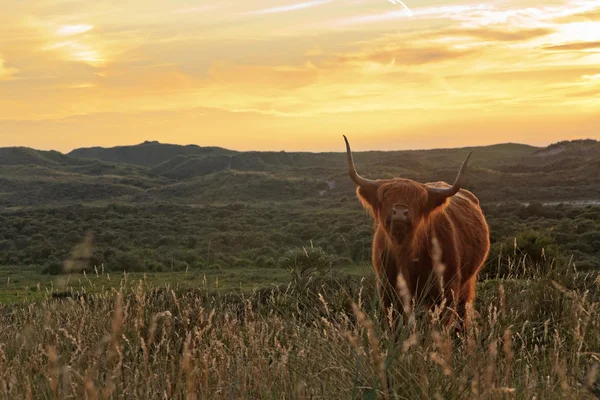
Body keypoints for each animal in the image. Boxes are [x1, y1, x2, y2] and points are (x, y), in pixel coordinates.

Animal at [344, 136, 490, 330]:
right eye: (385, 196)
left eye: (419, 200)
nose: (399, 212)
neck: (406, 251)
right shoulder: (388, 289)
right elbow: (396, 322)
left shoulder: (447, 289)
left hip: (467, 282)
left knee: (462, 312)